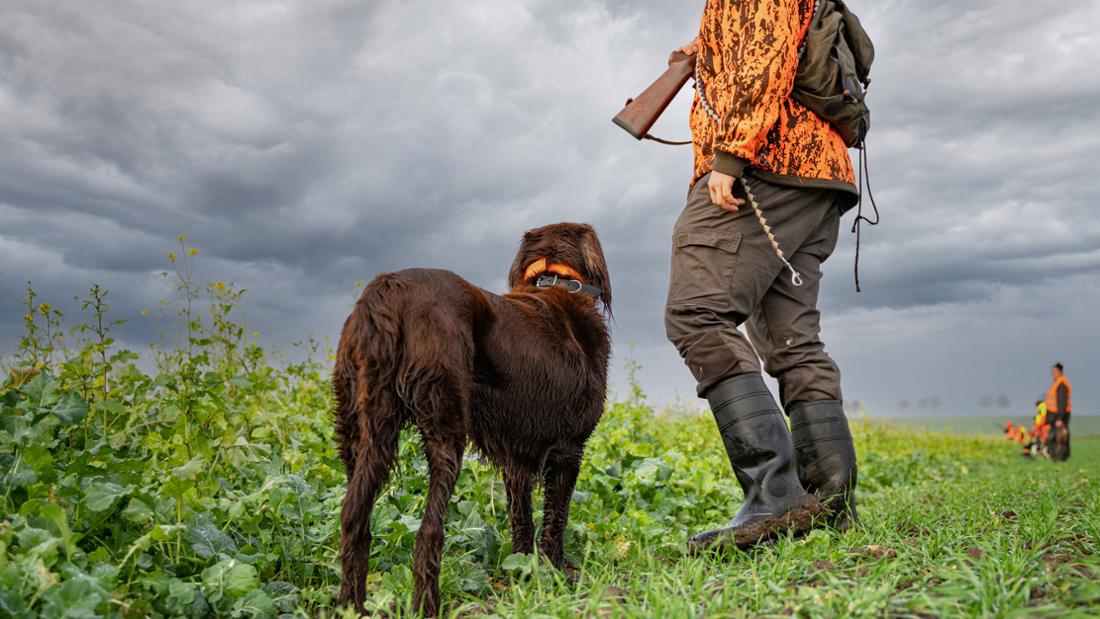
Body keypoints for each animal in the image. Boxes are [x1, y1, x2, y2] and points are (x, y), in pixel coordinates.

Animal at [332, 222, 611, 615]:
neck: (556, 282)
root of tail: (387, 293)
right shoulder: (569, 449)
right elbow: (556, 519)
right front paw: (558, 576)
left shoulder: (517, 457)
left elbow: (521, 519)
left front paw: (524, 574)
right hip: (445, 426)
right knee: (429, 530)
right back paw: (426, 606)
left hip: (356, 427)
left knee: (354, 513)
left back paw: (352, 606)